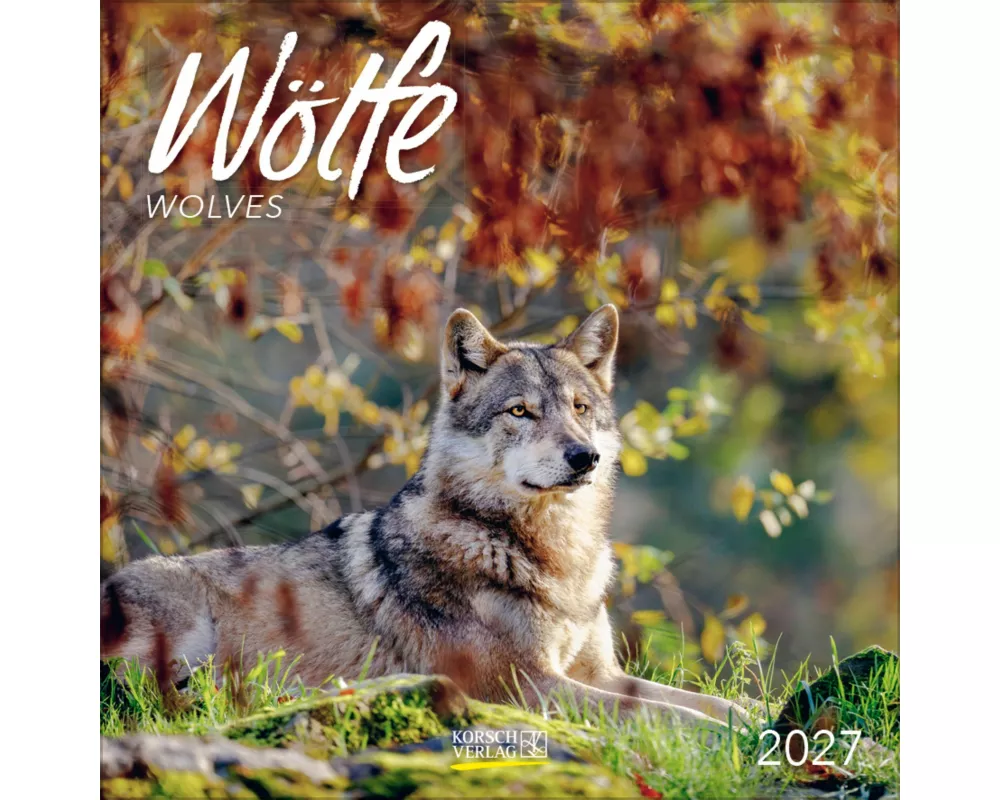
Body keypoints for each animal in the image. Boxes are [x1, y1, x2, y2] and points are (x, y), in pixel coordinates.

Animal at [101, 305, 748, 730]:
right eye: (520, 411)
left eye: (581, 408)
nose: (583, 456)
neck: (552, 555)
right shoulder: (525, 686)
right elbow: (678, 718)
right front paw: (736, 738)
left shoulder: (598, 674)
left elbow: (713, 704)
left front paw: (759, 718)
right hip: (184, 639)